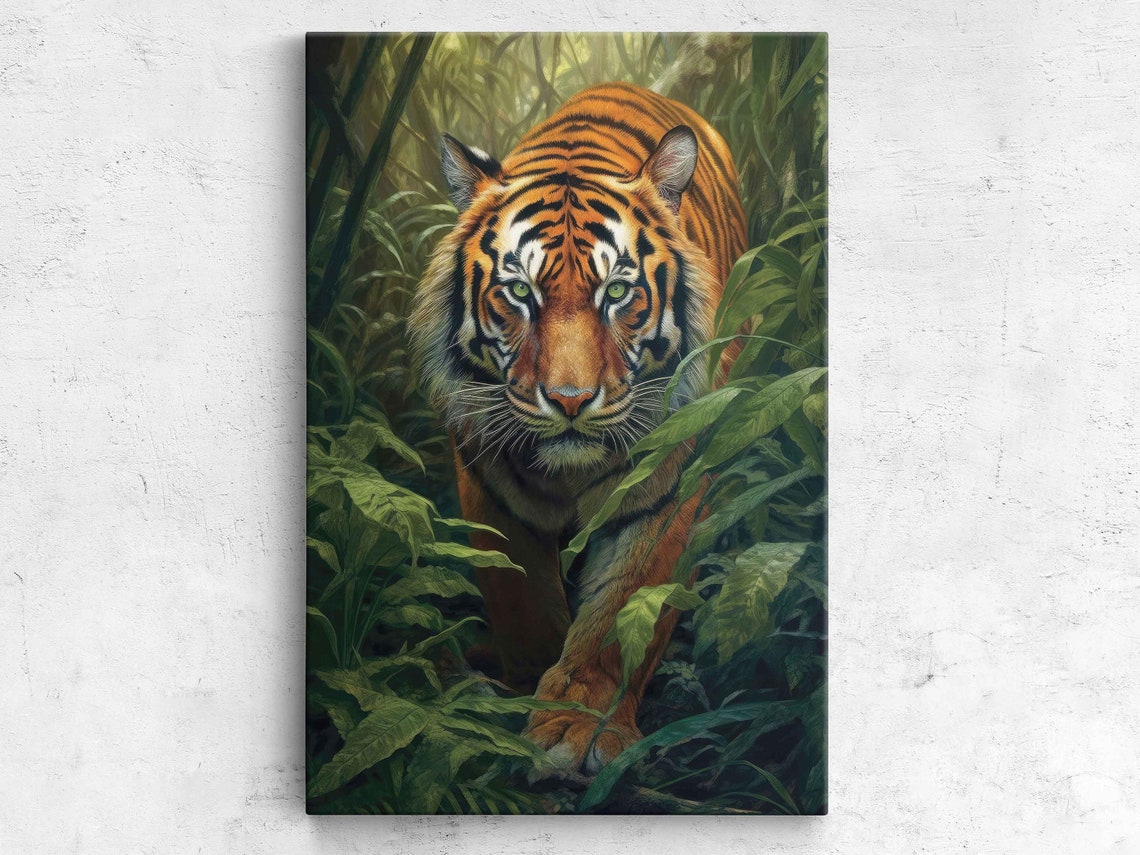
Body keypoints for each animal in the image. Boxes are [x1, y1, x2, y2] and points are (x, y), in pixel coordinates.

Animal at [409, 82, 746, 774]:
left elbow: (623, 610)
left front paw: (577, 726)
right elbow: (524, 602)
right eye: (519, 292)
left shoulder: (669, 487)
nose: (570, 400)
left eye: (616, 293)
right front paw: (519, 709)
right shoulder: (486, 482)